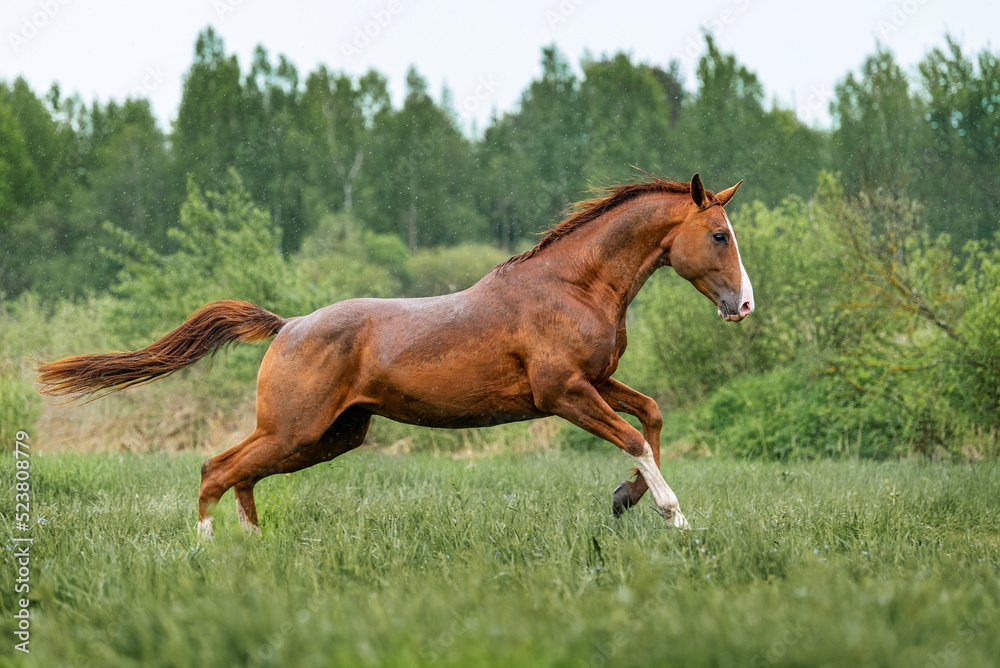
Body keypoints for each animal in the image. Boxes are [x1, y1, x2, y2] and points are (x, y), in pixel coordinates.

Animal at [37, 173, 753, 539]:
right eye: (719, 235)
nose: (743, 305)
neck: (575, 284)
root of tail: (286, 326)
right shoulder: (562, 392)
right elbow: (632, 435)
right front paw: (674, 516)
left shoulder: (598, 380)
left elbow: (651, 416)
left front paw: (624, 498)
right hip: (295, 428)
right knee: (218, 468)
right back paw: (212, 556)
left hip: (330, 435)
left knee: (240, 473)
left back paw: (254, 550)